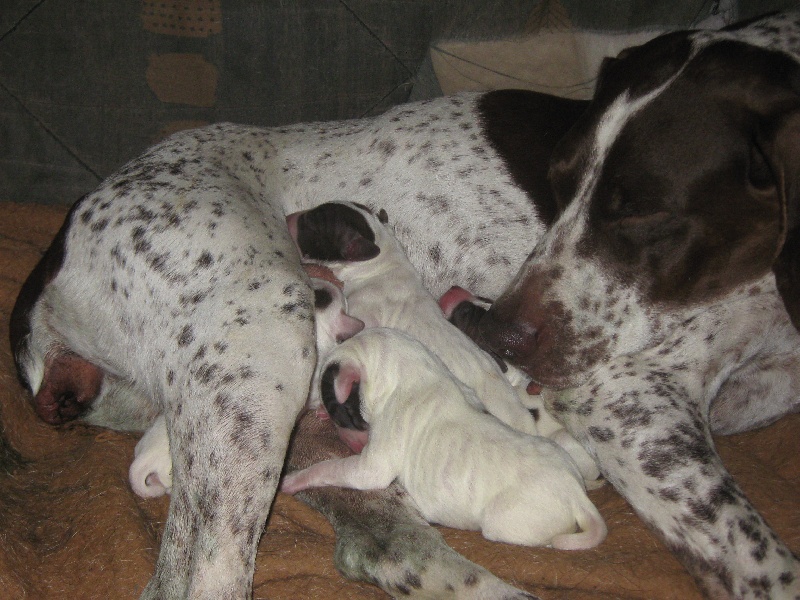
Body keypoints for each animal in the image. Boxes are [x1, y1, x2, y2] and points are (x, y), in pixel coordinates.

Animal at [282, 328, 608, 552]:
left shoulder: (373, 462)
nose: (323, 411)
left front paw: (295, 479)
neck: (409, 368)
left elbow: (337, 468)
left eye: (340, 412)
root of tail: (577, 494)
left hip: (504, 521)